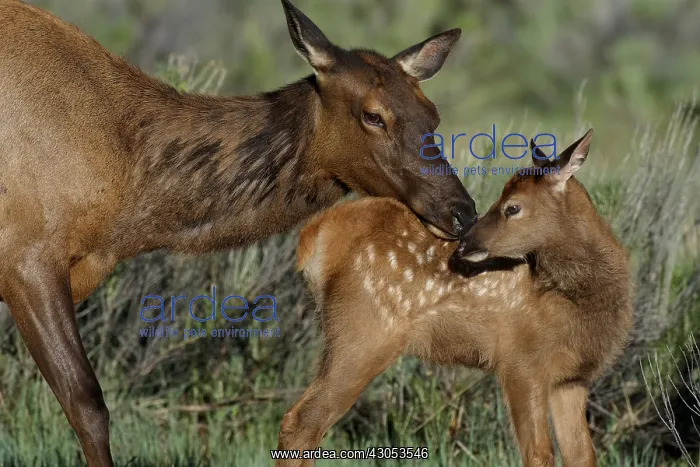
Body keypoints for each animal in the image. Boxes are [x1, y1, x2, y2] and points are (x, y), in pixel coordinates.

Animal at [279, 129, 634, 467]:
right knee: (302, 421)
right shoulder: (521, 360)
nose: (464, 243)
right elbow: (538, 454)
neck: (572, 303)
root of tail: (315, 235)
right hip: (363, 332)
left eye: (513, 206)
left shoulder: (571, 379)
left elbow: (582, 456)